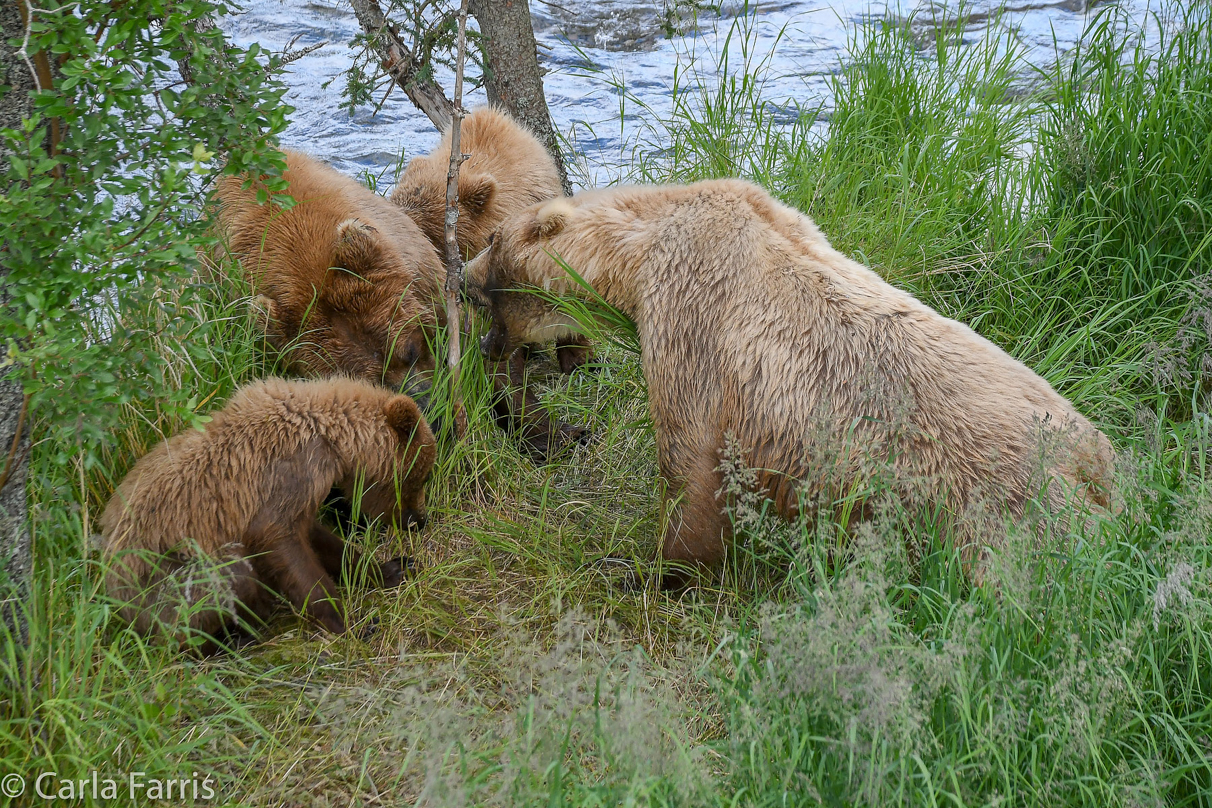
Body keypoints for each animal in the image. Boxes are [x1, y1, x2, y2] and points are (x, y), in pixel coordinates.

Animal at [101, 380, 436, 649]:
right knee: (226, 580)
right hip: (163, 573)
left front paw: (394, 567)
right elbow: (285, 551)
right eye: (419, 477)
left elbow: (320, 540)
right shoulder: (279, 484)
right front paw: (351, 622)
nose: (418, 520)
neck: (330, 438)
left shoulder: (301, 496)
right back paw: (232, 639)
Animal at [465, 178, 1115, 588]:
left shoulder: (691, 312)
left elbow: (690, 462)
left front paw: (650, 568)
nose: (462, 275)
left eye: (492, 240)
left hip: (997, 512)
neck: (639, 253)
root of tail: (1101, 463)